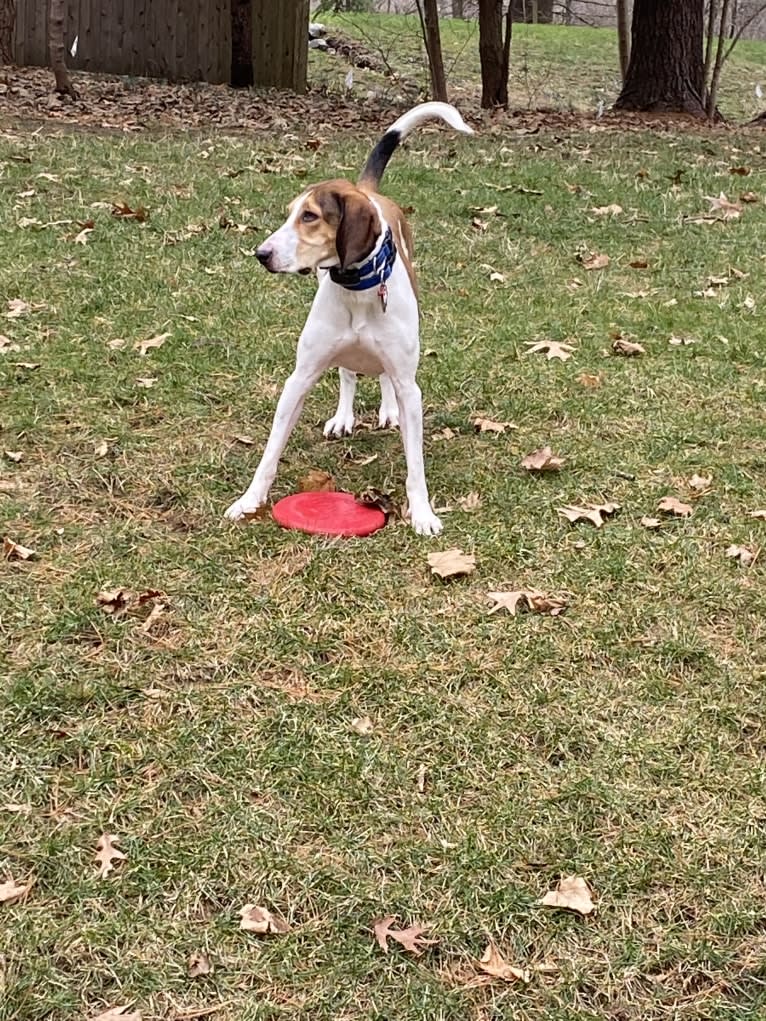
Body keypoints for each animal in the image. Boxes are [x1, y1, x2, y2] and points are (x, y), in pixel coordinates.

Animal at [223, 99, 473, 539]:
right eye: (290, 214)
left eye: (310, 216)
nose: (261, 253)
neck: (357, 289)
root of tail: (369, 192)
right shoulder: (299, 378)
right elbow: (271, 451)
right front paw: (249, 500)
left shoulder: (411, 388)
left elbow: (415, 464)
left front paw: (422, 513)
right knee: (347, 372)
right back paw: (344, 416)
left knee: (384, 376)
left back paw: (388, 411)